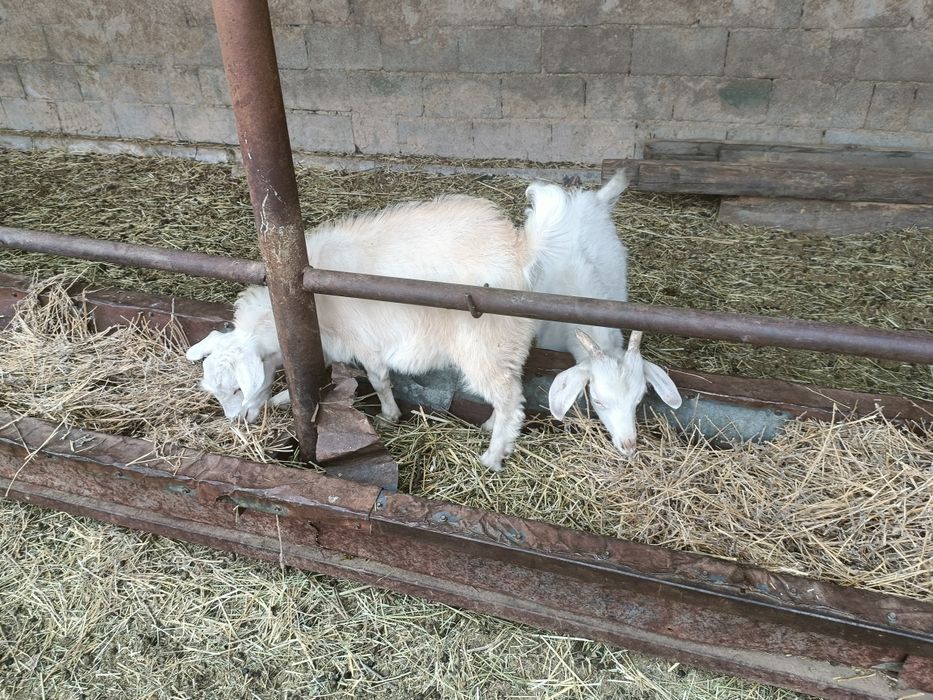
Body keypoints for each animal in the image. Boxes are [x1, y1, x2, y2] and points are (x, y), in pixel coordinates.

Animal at [187, 193, 566, 471]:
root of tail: (519, 249)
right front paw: (284, 399)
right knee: (509, 394)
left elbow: (378, 379)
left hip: (485, 345)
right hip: (504, 346)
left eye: (237, 388)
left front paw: (388, 415)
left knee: (510, 401)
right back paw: (490, 428)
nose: (237, 422)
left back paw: (493, 456)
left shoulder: (363, 341)